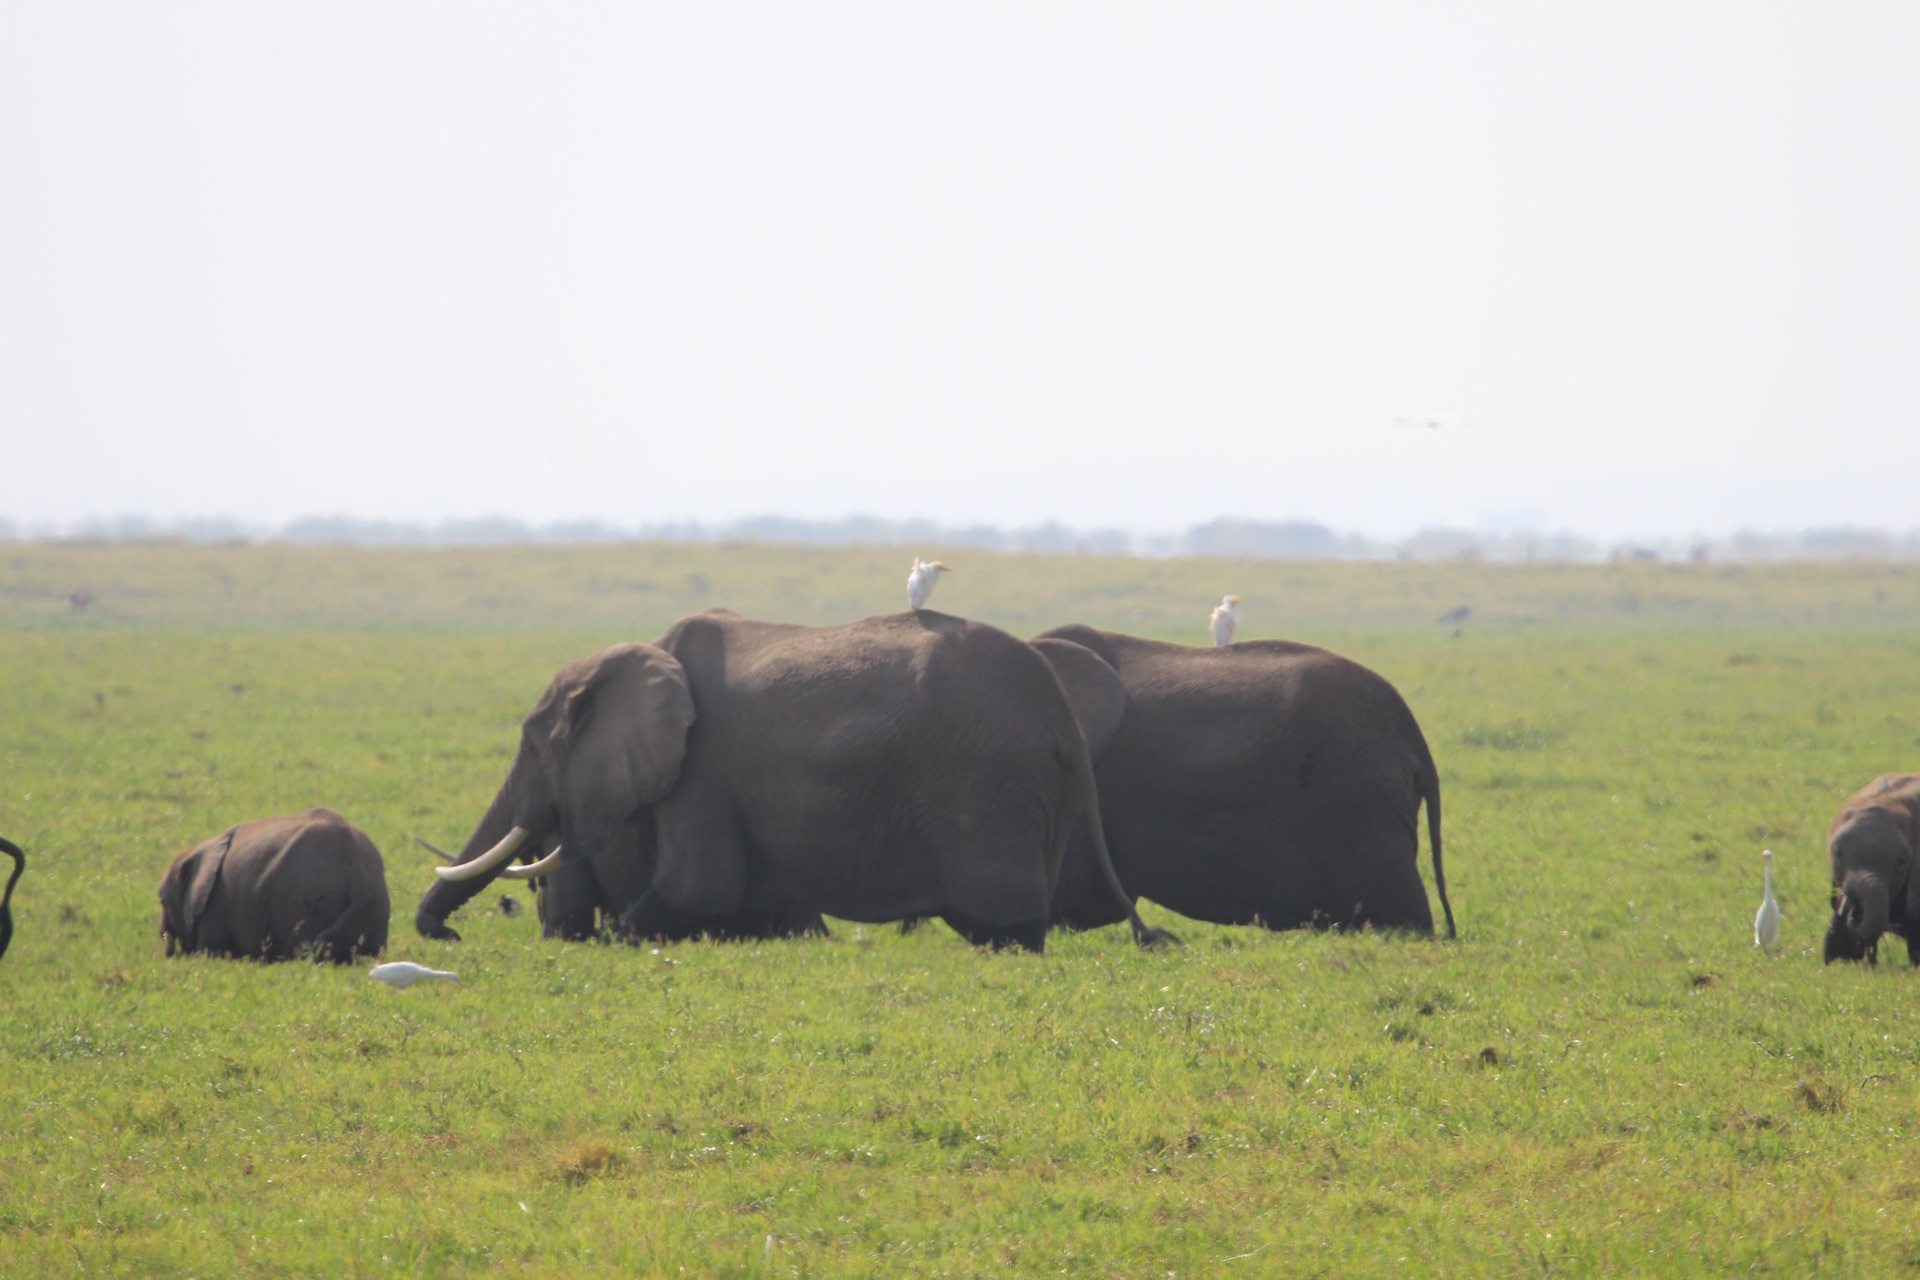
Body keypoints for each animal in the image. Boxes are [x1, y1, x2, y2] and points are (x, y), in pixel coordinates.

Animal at [163, 809, 391, 959]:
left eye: (162, 900)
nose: (169, 953)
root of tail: (357, 877)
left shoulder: (216, 903)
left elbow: (212, 951)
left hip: (305, 902)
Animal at [418, 610, 1167, 951]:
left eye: (533, 745)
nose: (447, 936)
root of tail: (1059, 712)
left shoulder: (703, 775)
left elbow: (698, 887)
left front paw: (612, 938)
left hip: (990, 793)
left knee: (1003, 927)